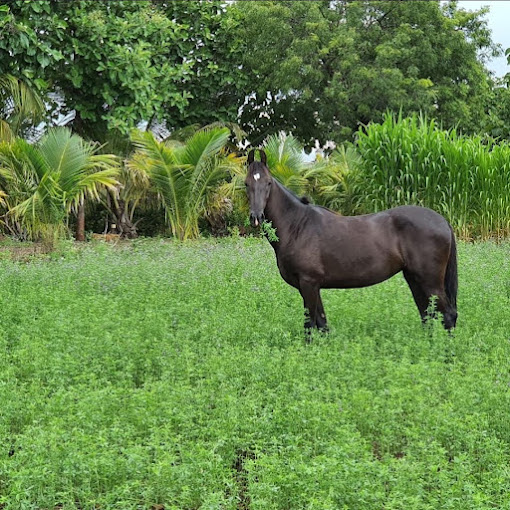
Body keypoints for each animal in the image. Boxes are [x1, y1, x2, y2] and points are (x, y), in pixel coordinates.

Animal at [245, 148, 456, 338]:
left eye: (268, 183)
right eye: (246, 184)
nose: (256, 217)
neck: (298, 225)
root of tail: (442, 221)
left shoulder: (308, 283)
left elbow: (310, 325)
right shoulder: (313, 286)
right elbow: (322, 324)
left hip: (430, 282)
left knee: (447, 316)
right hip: (414, 279)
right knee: (427, 315)